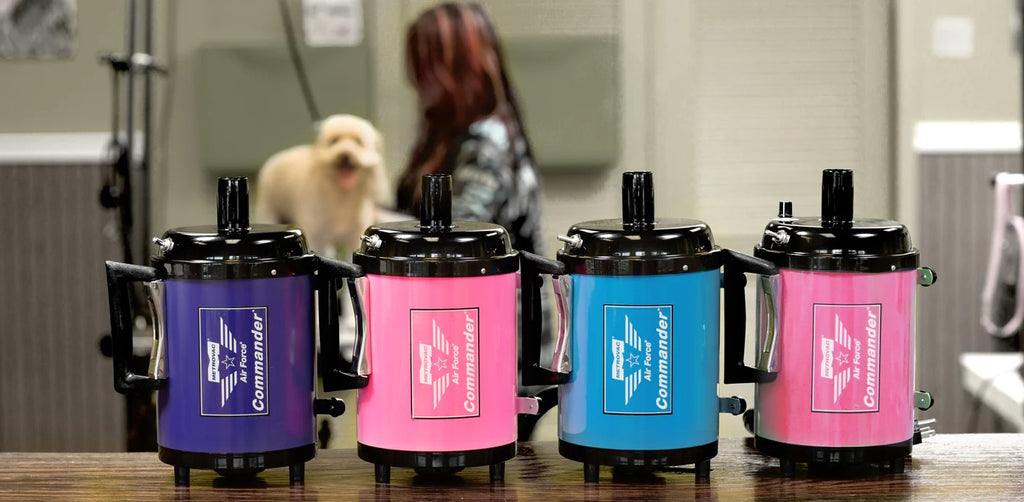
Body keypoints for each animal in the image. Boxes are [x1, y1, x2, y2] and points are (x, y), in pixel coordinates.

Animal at [253, 115, 385, 257]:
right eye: (334, 140)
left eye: (359, 142)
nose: (345, 155)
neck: (341, 197)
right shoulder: (319, 237)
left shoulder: (353, 235)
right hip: (269, 210)